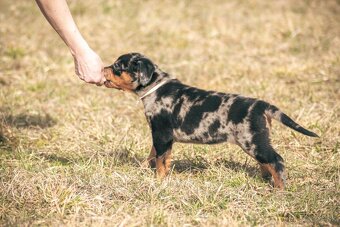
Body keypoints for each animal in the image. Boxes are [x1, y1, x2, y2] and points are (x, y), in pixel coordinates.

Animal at [104, 52, 318, 189]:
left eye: (117, 66)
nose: (103, 69)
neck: (155, 88)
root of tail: (262, 105)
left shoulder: (161, 134)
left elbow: (160, 160)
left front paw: (158, 181)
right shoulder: (161, 137)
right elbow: (153, 155)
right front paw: (144, 170)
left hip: (253, 141)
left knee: (277, 160)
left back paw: (279, 189)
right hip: (256, 141)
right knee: (267, 162)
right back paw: (265, 179)